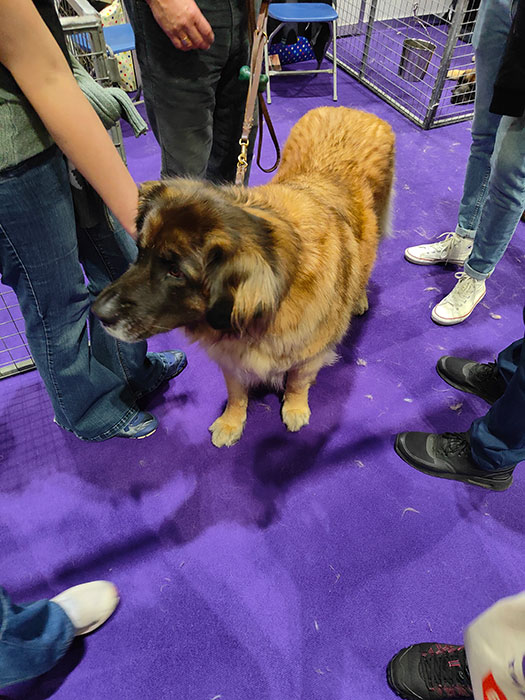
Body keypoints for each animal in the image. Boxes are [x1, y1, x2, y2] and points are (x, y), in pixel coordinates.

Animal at [93, 107, 395, 447]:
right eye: (141, 252)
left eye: (175, 272)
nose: (97, 313)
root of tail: (351, 110)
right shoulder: (231, 357)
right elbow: (237, 392)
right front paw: (231, 422)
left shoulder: (310, 351)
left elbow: (297, 380)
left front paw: (295, 408)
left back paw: (358, 298)